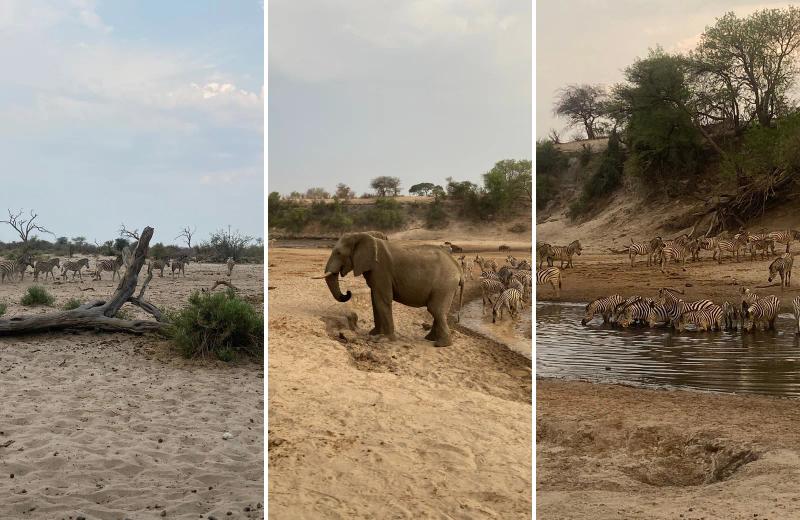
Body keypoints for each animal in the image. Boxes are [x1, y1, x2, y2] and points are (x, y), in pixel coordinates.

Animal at [316, 232, 464, 347]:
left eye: (338, 253)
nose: (348, 292)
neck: (364, 236)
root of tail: (458, 269)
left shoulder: (381, 269)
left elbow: (382, 299)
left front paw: (383, 339)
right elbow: (375, 299)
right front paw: (373, 334)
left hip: (444, 284)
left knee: (435, 309)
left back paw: (440, 344)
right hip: (448, 286)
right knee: (438, 311)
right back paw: (430, 339)